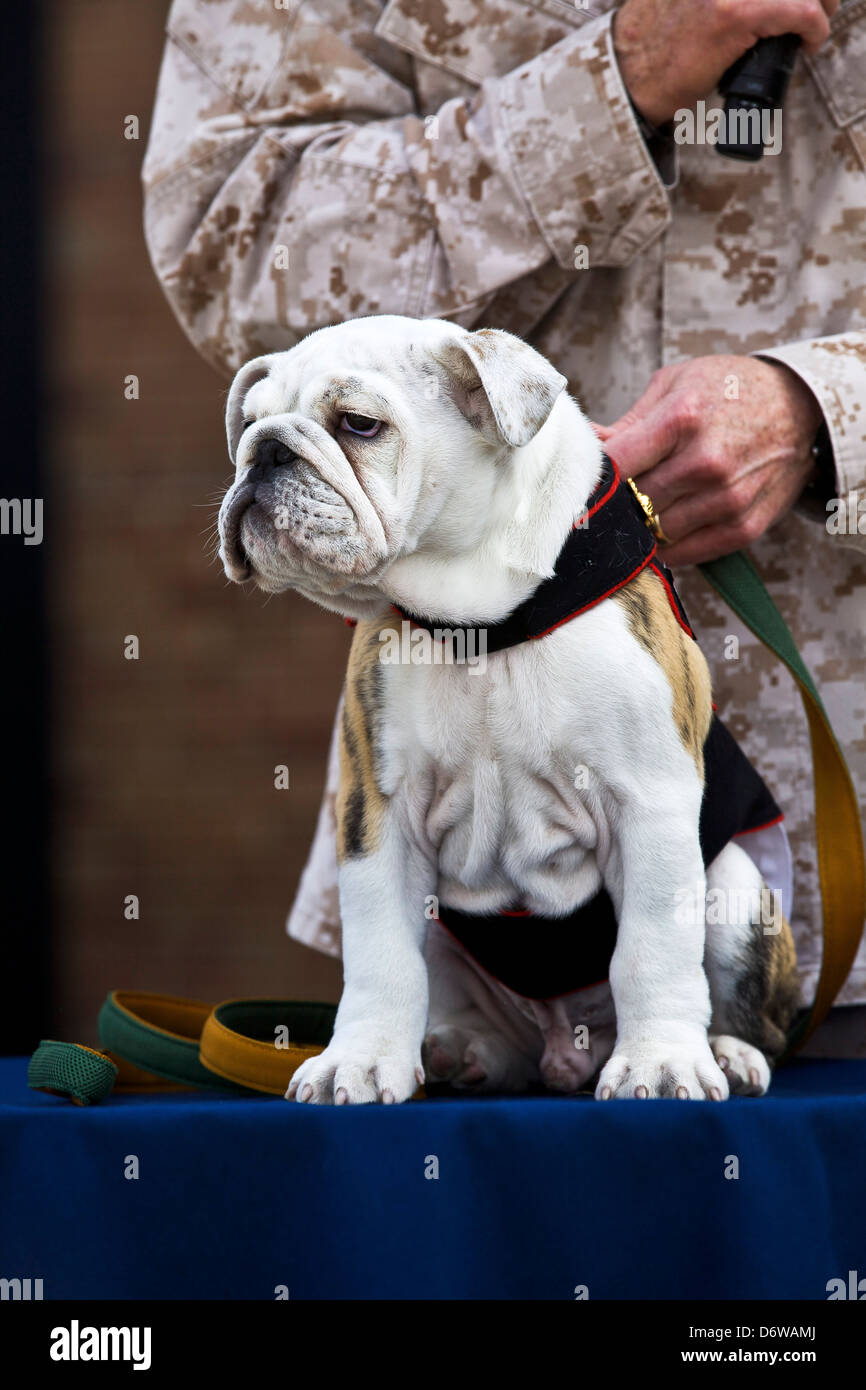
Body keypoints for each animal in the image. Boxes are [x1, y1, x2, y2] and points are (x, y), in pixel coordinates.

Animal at [216, 315, 800, 1106]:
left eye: (360, 424)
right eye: (248, 423)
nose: (266, 451)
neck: (483, 621)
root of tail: (563, 1048)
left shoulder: (649, 802)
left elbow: (651, 946)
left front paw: (660, 1062)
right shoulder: (377, 815)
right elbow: (380, 955)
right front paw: (360, 1060)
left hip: (737, 886)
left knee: (754, 1012)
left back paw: (727, 1053)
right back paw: (463, 1049)